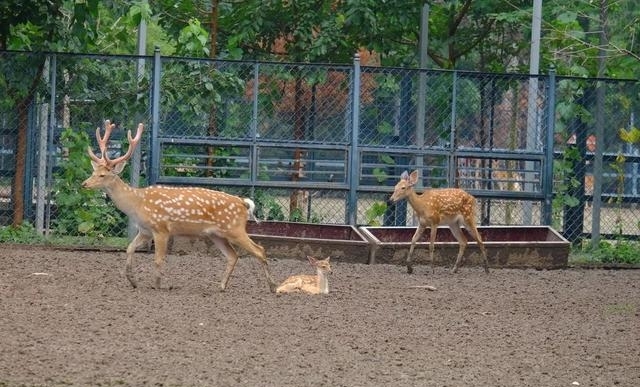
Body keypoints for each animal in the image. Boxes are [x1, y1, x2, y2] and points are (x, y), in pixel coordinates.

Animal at [82, 119, 278, 292]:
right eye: (93, 171)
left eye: (102, 175)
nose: (84, 184)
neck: (137, 204)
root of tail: (243, 203)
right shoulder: (145, 231)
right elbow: (129, 248)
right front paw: (132, 280)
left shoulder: (162, 228)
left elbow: (158, 259)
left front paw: (159, 285)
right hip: (217, 234)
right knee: (233, 256)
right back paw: (221, 286)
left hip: (235, 229)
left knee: (259, 250)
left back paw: (272, 287)